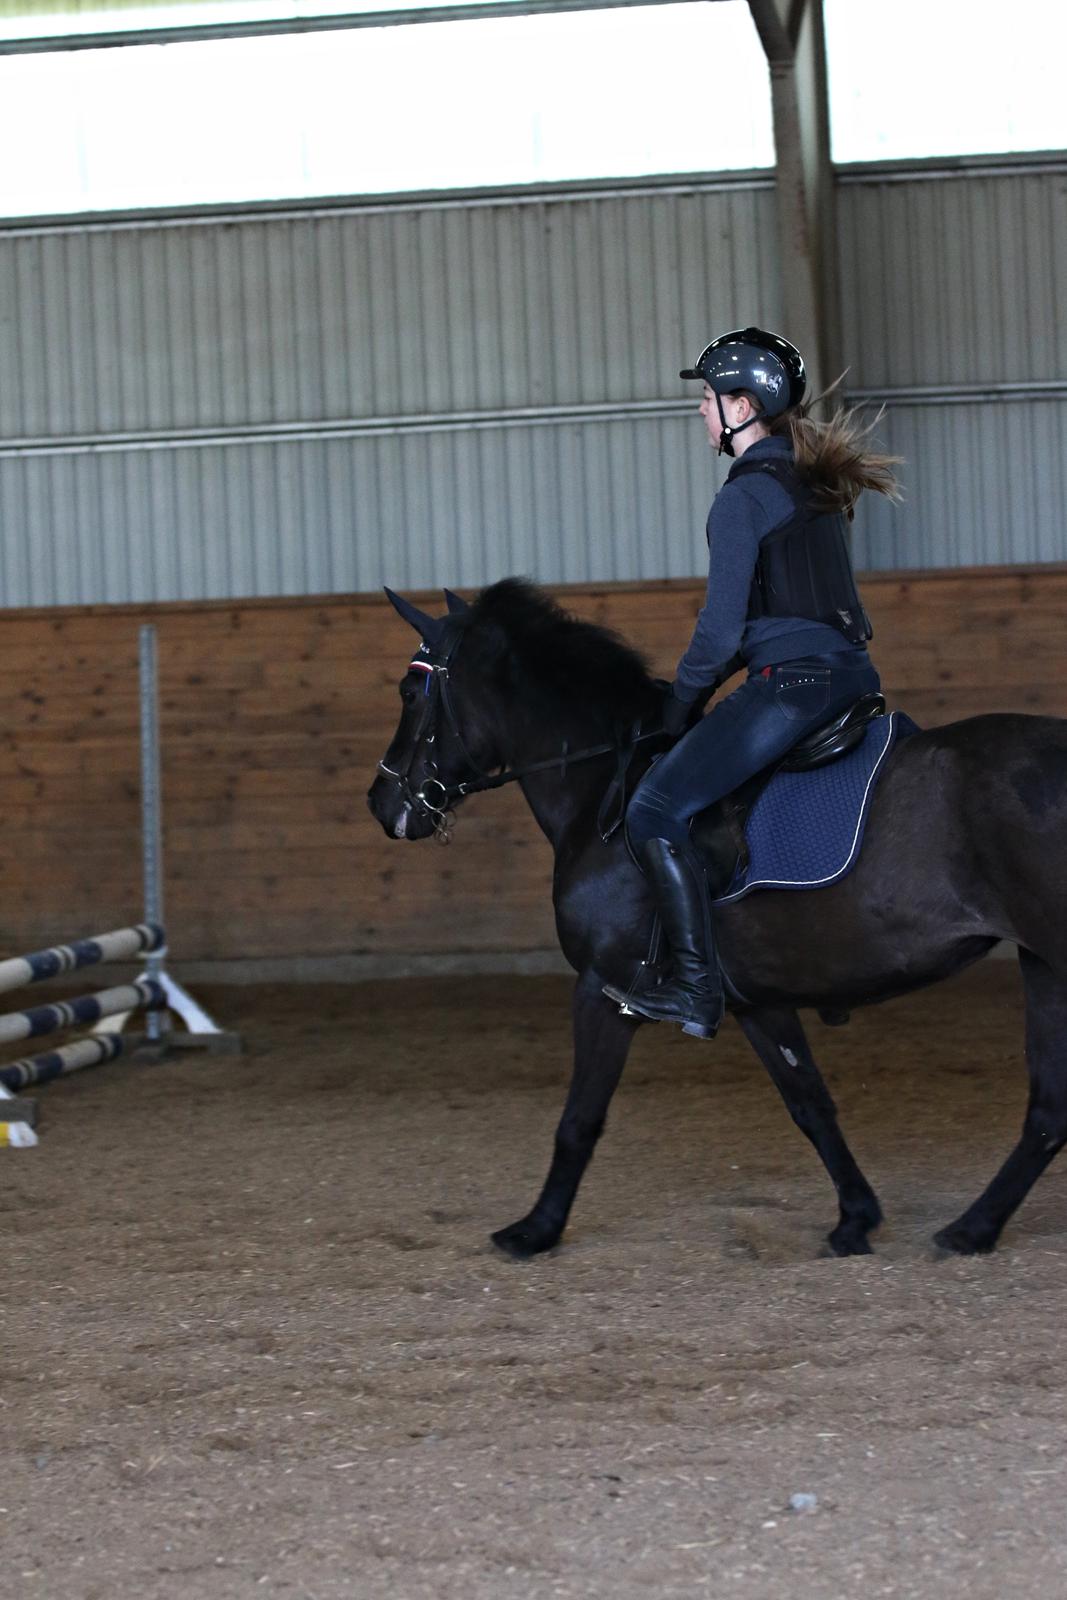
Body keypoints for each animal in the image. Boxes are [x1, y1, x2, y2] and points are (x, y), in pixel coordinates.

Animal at [369, 576, 1067, 1260]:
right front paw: (855, 1218)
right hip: (1041, 964)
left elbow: (578, 1120)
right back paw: (973, 1228)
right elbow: (809, 1103)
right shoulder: (756, 999)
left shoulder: (604, 988)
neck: (604, 793)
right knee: (1048, 1111)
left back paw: (972, 1228)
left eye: (409, 691)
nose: (382, 803)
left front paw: (535, 1230)